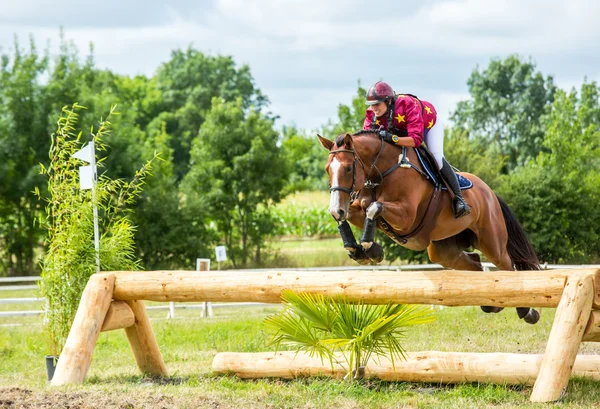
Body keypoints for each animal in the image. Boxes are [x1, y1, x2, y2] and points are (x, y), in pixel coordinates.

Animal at [318, 131, 544, 326]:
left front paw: (370, 248)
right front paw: (358, 249)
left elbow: (374, 207)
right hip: (443, 251)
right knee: (476, 264)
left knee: (507, 266)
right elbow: (354, 212)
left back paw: (528, 312)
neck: (381, 169)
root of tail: (489, 191)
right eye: (327, 169)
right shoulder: (358, 208)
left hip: (492, 242)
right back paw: (490, 304)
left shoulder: (406, 215)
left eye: (348, 168)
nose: (336, 207)